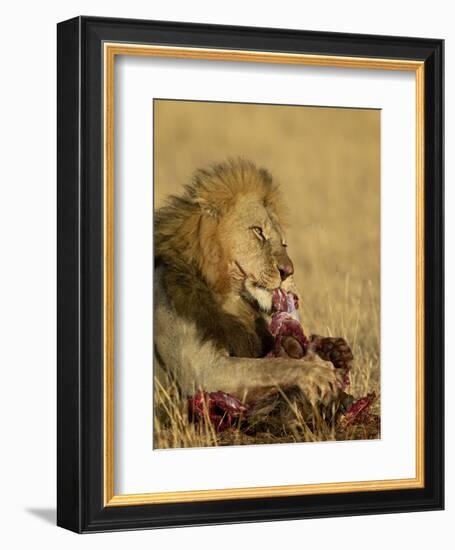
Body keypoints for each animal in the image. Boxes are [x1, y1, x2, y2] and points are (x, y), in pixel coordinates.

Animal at [155, 160, 350, 410]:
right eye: (258, 231)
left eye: (283, 243)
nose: (288, 272)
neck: (229, 297)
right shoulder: (204, 372)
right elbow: (269, 366)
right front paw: (319, 371)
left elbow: (271, 360)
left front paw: (325, 352)